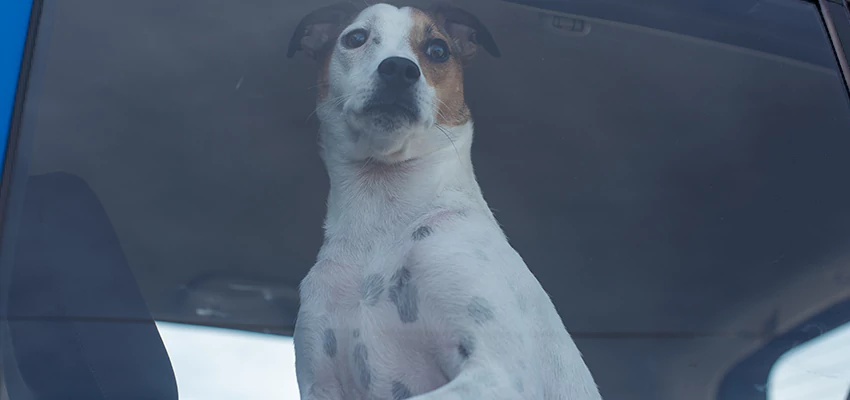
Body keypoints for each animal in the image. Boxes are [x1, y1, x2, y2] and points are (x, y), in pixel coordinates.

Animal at [288, 3, 600, 400]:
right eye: (355, 38)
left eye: (438, 50)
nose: (399, 69)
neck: (380, 224)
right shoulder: (321, 381)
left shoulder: (500, 372)